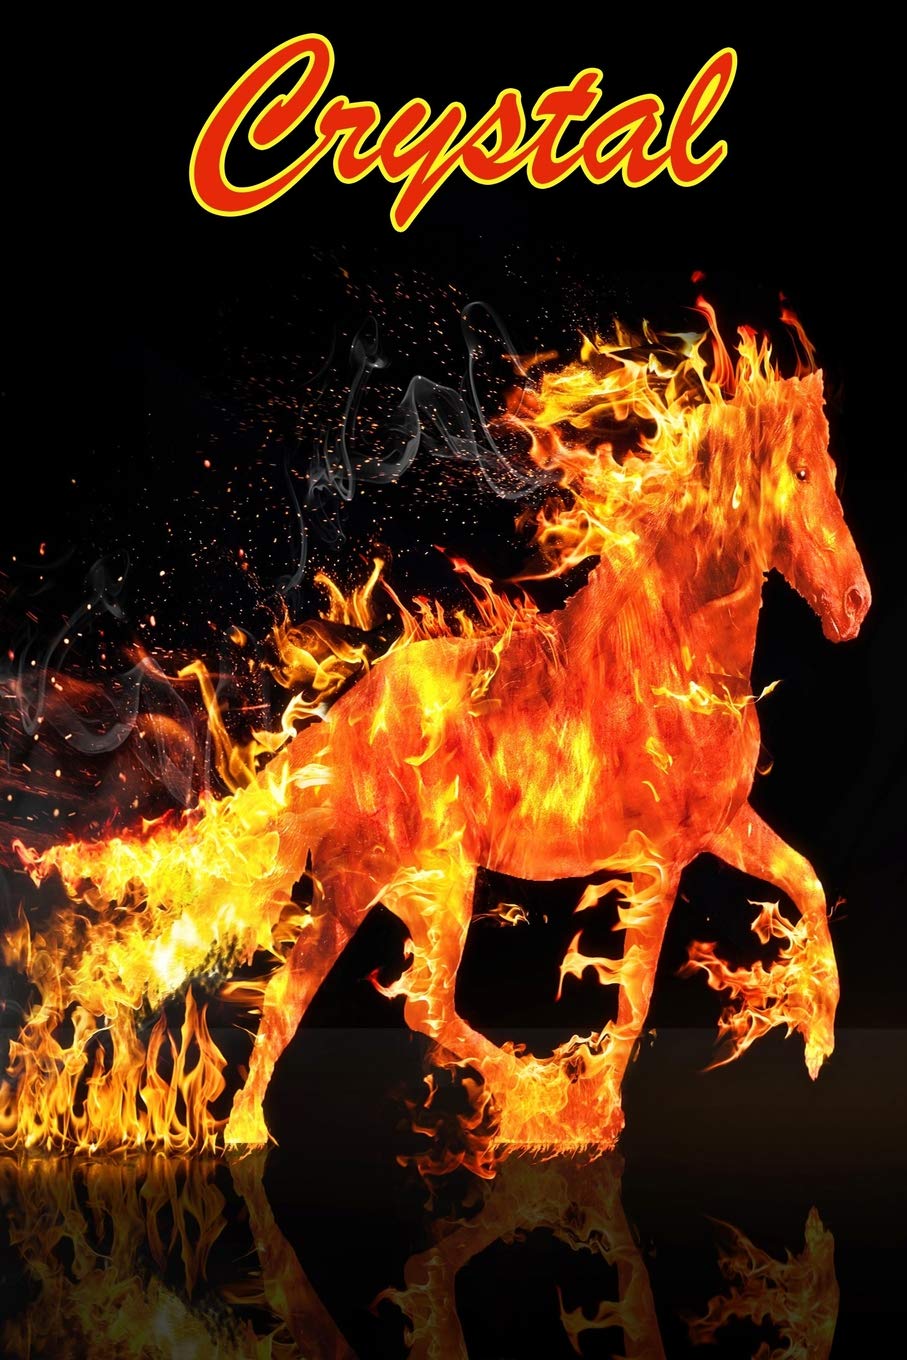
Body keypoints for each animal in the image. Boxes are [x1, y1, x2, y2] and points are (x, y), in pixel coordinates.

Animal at [12, 326, 870, 1157]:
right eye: (797, 471)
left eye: (830, 468)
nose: (856, 602)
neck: (667, 653)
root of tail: (336, 732)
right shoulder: (656, 858)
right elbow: (635, 992)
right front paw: (596, 1112)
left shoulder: (720, 826)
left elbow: (806, 882)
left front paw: (818, 1042)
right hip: (430, 883)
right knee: (413, 1003)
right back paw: (533, 1100)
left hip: (369, 892)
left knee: (306, 995)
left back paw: (255, 1127)